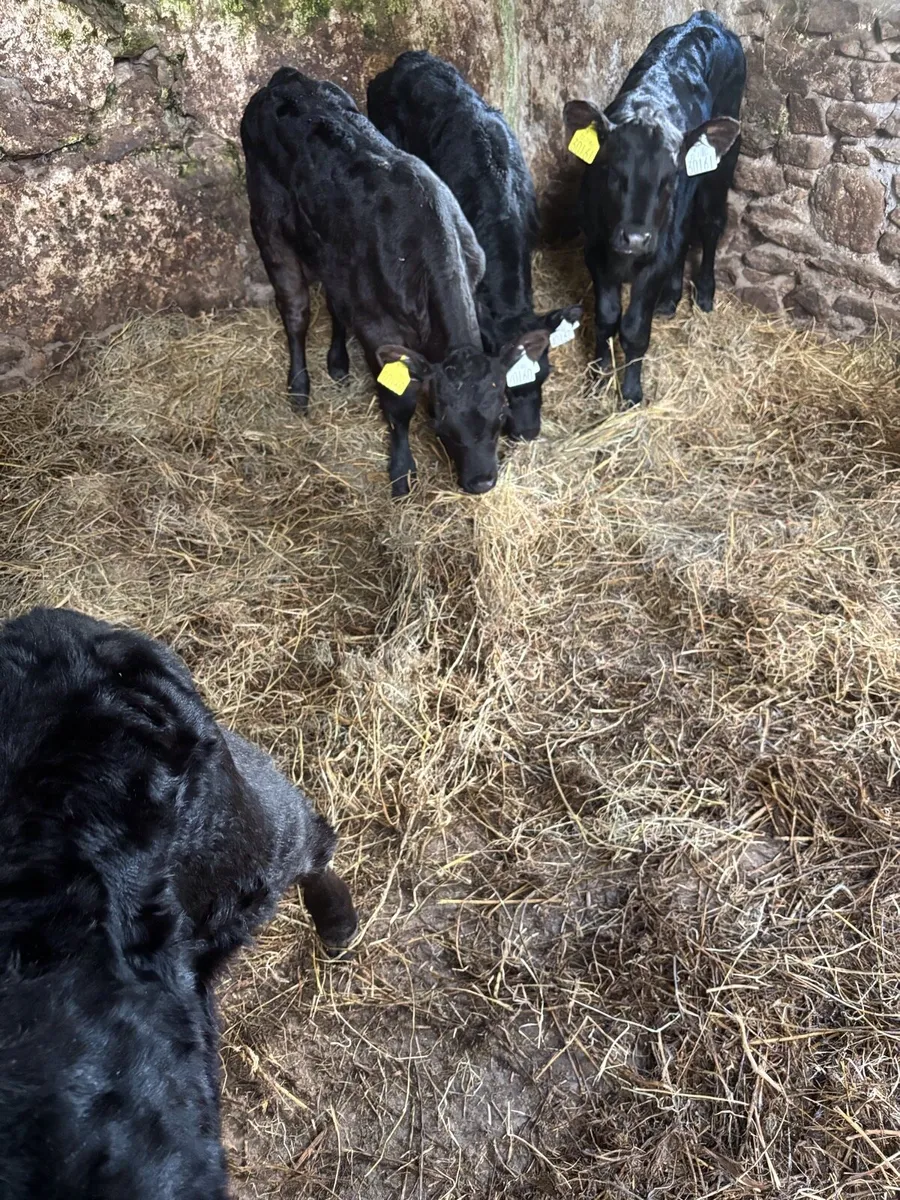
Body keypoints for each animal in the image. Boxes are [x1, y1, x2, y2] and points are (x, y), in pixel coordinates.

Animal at [241, 68, 550, 497]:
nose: (482, 481)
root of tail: (285, 79)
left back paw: (338, 363)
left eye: (500, 414)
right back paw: (300, 389)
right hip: (266, 219)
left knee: (335, 301)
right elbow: (398, 404)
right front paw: (402, 470)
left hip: (332, 254)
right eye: (440, 424)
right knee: (296, 312)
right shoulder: (378, 329)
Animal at [564, 10, 746, 407]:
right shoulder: (595, 249)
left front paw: (631, 391)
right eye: (612, 171)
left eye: (670, 177)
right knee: (685, 231)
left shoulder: (655, 256)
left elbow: (633, 329)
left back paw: (704, 293)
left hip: (720, 166)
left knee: (710, 223)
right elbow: (606, 317)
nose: (635, 238)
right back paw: (670, 298)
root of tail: (704, 19)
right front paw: (599, 375)